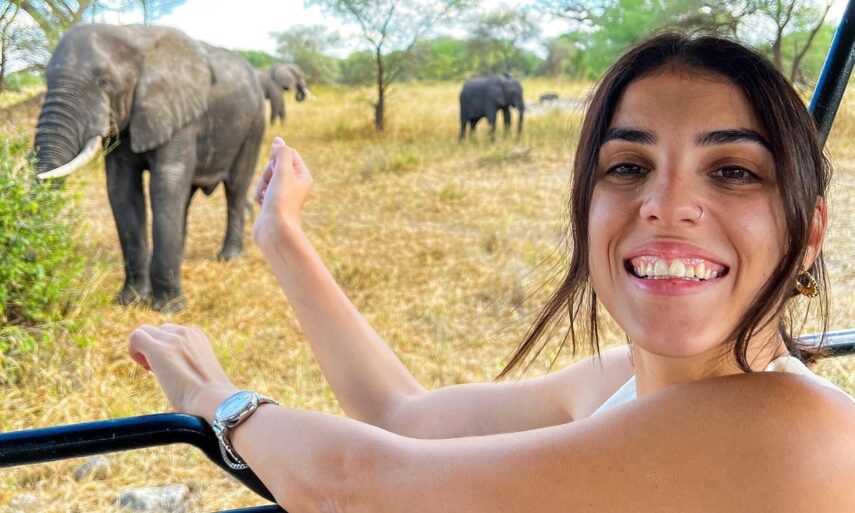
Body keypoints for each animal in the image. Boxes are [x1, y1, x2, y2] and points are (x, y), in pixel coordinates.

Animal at [32, 23, 265, 313]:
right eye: (46, 80)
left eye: (104, 82)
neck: (133, 38)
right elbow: (122, 190)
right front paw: (129, 301)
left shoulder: (180, 113)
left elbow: (165, 184)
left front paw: (168, 309)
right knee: (185, 199)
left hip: (254, 123)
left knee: (235, 188)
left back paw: (229, 257)